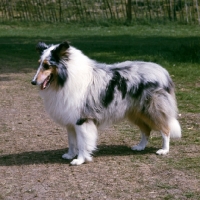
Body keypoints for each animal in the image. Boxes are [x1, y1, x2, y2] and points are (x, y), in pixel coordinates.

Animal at [31, 41, 181, 166]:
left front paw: (80, 160)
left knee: (165, 129)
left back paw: (164, 150)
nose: (33, 82)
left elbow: (82, 143)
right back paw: (140, 147)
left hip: (152, 110)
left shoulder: (82, 120)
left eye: (47, 65)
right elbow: (71, 141)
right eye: (39, 63)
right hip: (136, 112)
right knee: (146, 130)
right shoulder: (70, 121)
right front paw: (70, 155)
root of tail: (163, 71)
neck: (66, 79)